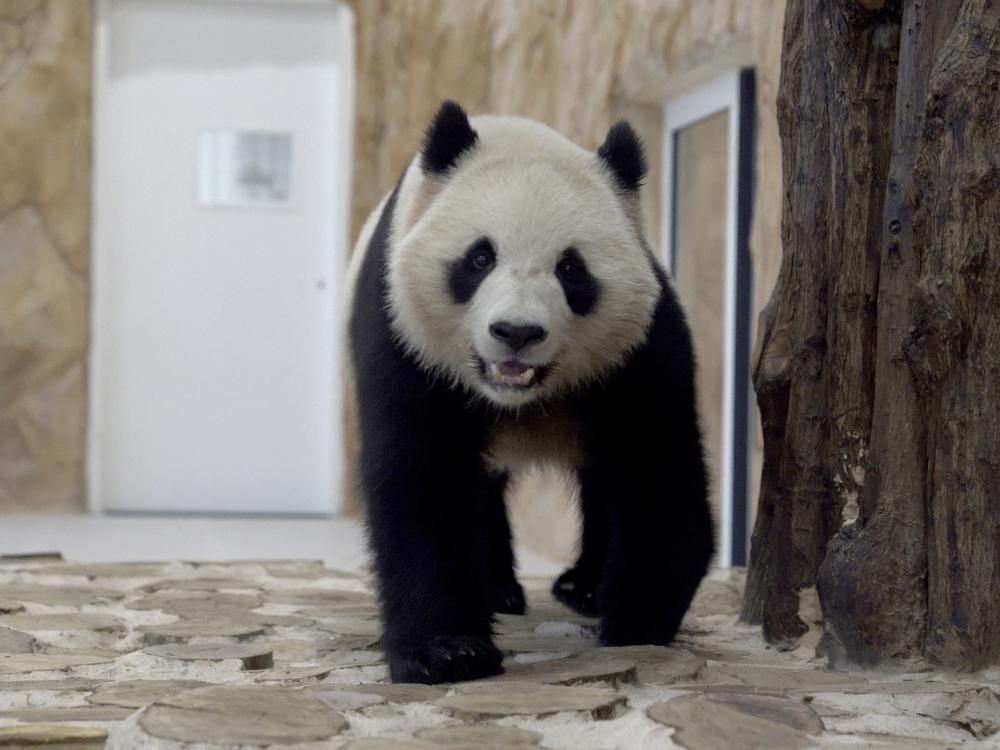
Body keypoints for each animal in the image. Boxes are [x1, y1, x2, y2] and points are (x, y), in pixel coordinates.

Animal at [348, 101, 716, 688]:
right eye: (479, 258)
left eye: (571, 268)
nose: (516, 332)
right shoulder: (404, 335)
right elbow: (423, 478)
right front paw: (446, 652)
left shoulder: (638, 352)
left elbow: (657, 470)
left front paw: (635, 618)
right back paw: (500, 589)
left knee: (600, 479)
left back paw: (581, 587)